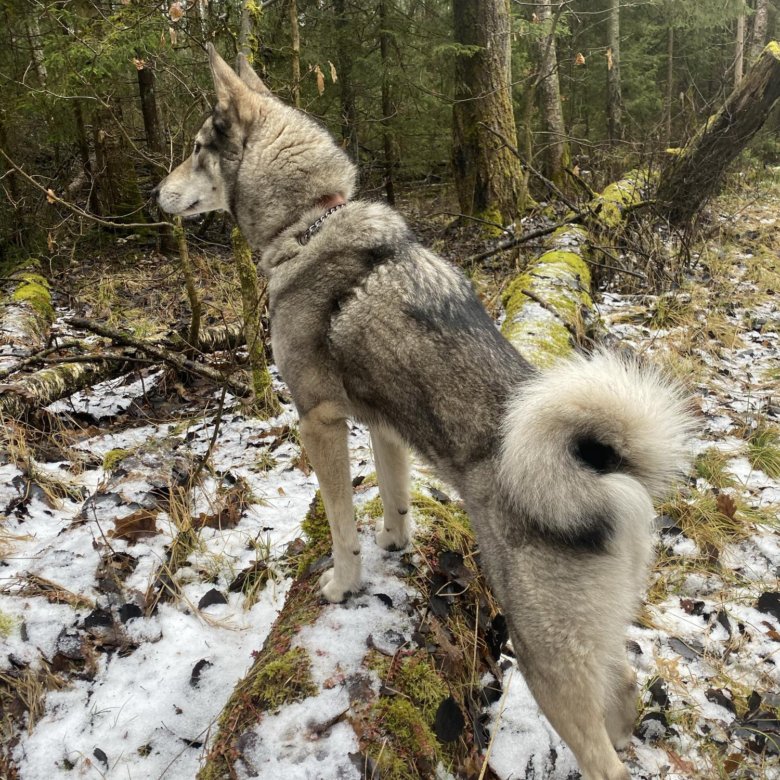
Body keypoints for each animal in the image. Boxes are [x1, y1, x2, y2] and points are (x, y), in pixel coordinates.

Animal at [154, 45, 696, 780]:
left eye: (194, 150)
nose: (156, 194)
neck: (309, 220)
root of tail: (607, 476)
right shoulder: (384, 427)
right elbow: (394, 498)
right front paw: (396, 544)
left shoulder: (319, 421)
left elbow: (340, 522)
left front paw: (346, 584)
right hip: (593, 648)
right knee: (627, 692)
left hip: (545, 657)